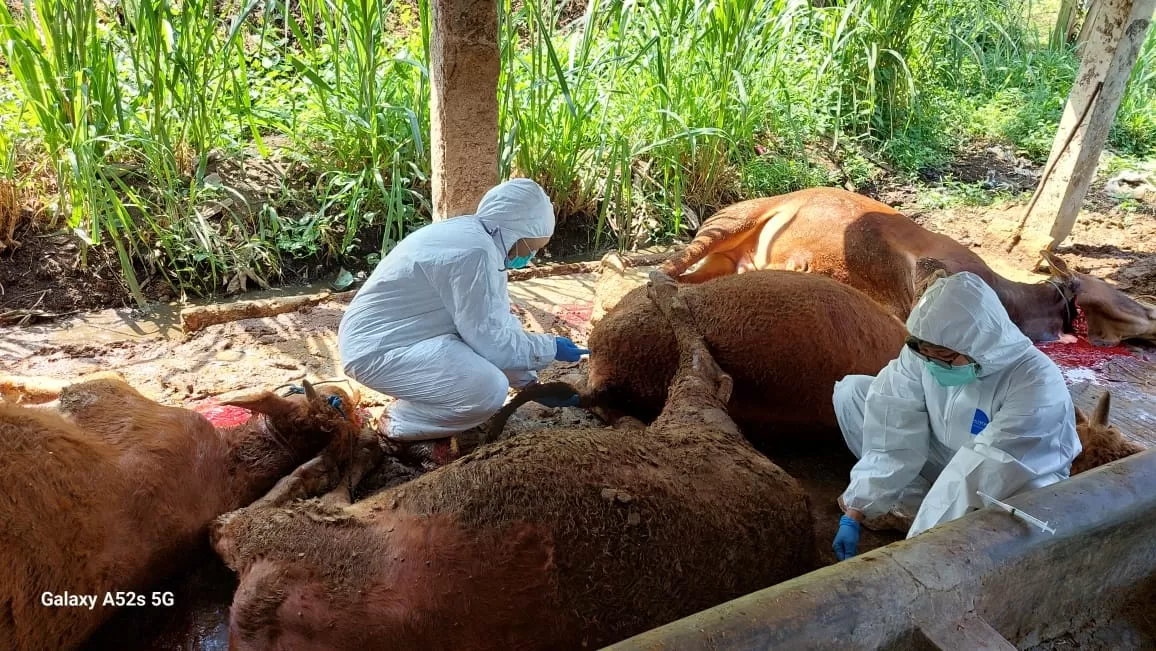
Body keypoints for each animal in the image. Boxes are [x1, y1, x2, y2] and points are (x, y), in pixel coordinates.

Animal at [661, 187, 1156, 346]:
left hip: (729, 257)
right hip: (732, 220)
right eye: (1136, 301)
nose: (1152, 313)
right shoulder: (937, 268)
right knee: (668, 271)